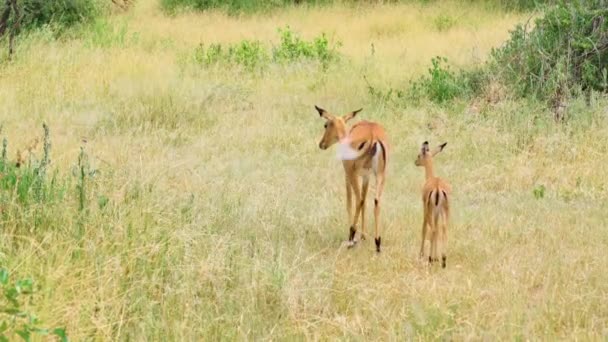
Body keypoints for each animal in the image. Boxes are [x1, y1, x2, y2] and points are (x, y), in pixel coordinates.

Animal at [316, 104, 388, 251]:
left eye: (325, 125)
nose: (321, 144)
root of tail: (373, 136)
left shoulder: (347, 173)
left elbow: (349, 202)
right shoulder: (366, 176)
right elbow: (365, 202)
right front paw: (363, 236)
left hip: (354, 175)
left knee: (358, 199)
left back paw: (351, 236)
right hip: (380, 175)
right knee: (376, 201)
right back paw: (377, 243)